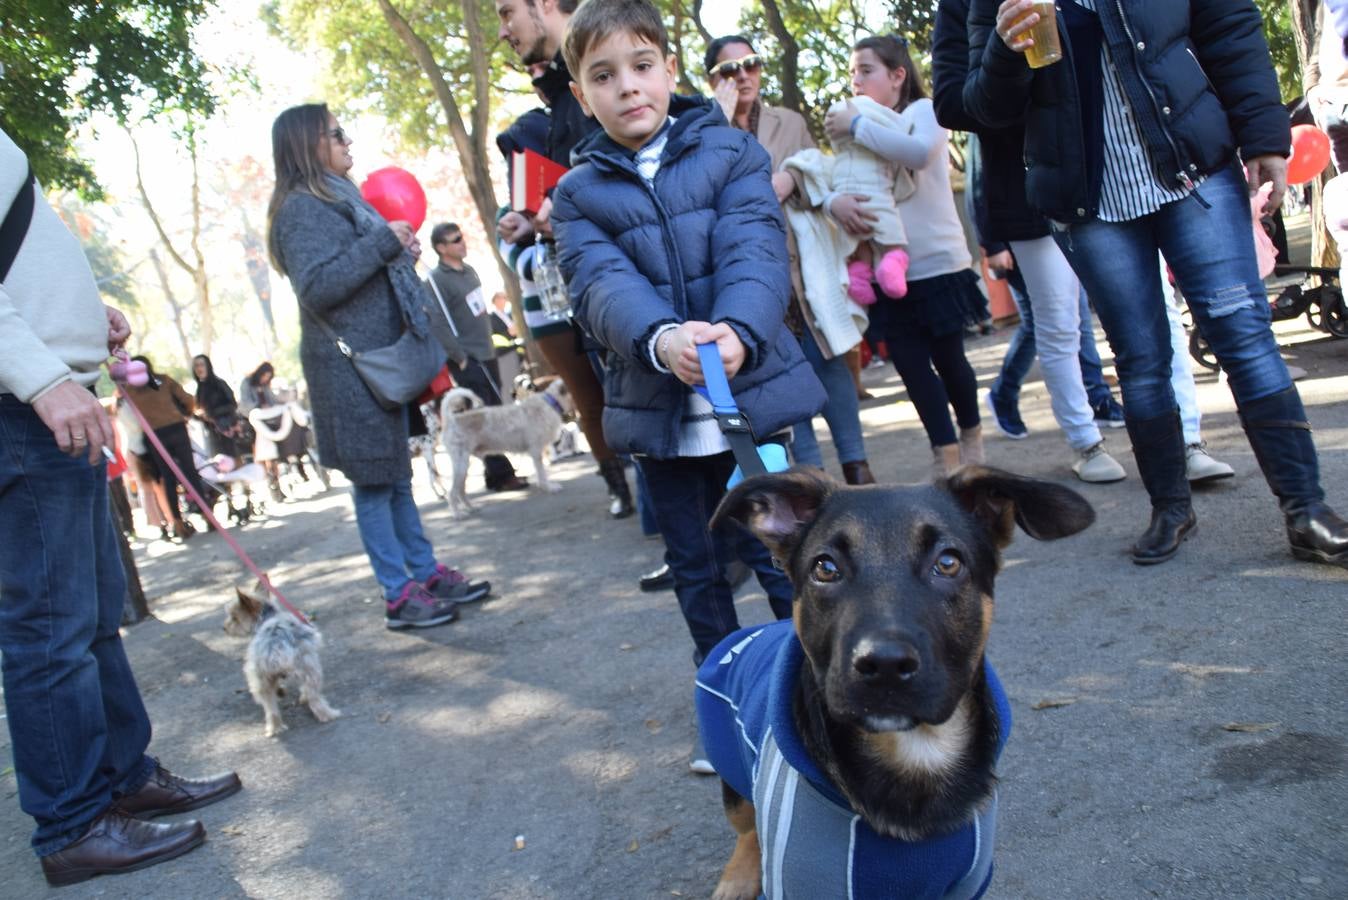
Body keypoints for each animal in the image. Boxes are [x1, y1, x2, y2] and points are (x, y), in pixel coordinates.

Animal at [221, 576, 337, 738]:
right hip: (309, 666)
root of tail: (275, 648)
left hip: (259, 678)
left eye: (234, 617)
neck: (267, 617)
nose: (224, 628)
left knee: (270, 707)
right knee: (313, 695)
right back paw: (328, 714)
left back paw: (274, 728)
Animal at [436, 377, 574, 517]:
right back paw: (457, 514)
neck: (550, 403)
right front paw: (549, 487)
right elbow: (542, 474)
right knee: (452, 492)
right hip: (461, 464)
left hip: (464, 465)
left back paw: (471, 508)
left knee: (460, 490)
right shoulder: (536, 451)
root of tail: (451, 419)